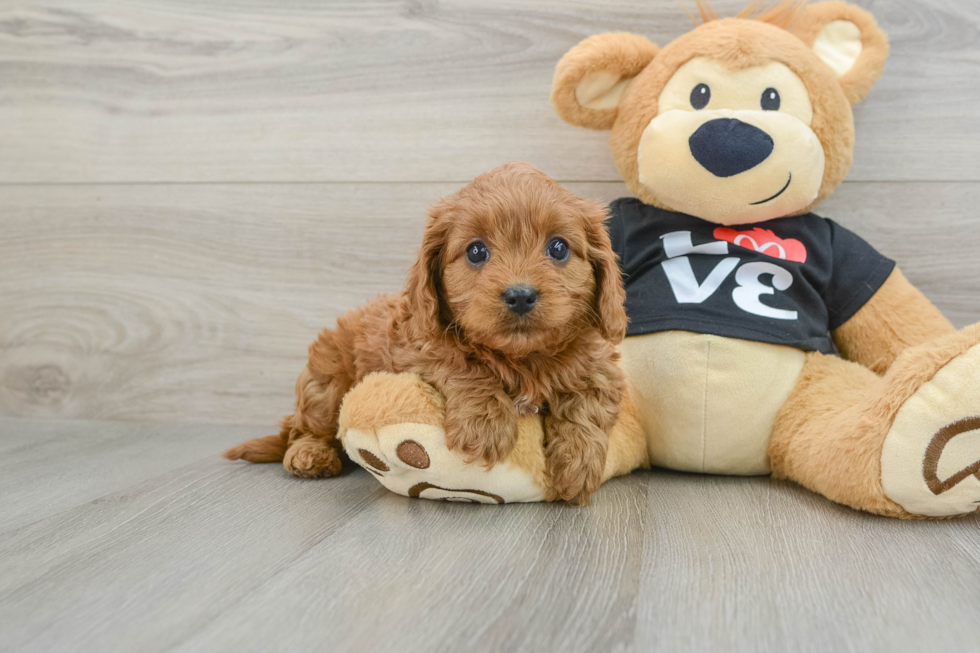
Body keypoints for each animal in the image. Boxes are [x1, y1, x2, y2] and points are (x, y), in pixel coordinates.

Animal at [224, 160, 628, 502]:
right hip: (325, 384)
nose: (520, 295)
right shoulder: (415, 345)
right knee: (302, 427)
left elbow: (587, 403)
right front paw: (485, 424)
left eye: (558, 247)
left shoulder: (600, 367)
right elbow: (462, 363)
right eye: (476, 252)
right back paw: (309, 454)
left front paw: (577, 465)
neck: (522, 359)